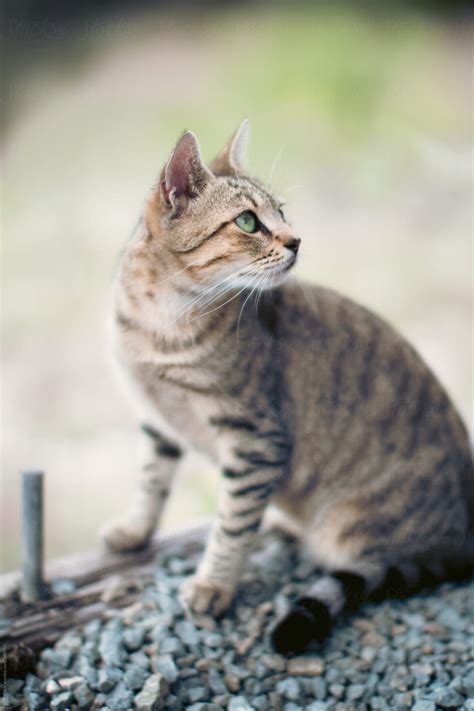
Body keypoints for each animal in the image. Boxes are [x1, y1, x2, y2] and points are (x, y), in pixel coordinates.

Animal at [103, 119, 474, 652]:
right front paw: (134, 531)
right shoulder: (158, 420)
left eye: (281, 212)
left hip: (350, 529)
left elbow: (231, 526)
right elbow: (150, 483)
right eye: (247, 222)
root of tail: (465, 536)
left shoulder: (256, 441)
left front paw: (213, 585)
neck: (160, 324)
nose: (297, 240)